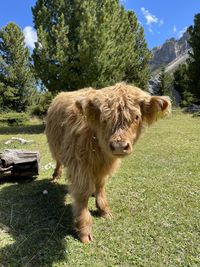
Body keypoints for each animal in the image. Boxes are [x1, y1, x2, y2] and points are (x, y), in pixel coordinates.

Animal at [46, 82, 171, 244]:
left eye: (136, 116)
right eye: (104, 119)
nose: (119, 146)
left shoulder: (104, 167)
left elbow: (100, 186)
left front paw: (104, 209)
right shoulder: (79, 164)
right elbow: (82, 194)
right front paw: (84, 229)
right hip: (55, 145)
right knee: (58, 161)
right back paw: (55, 177)